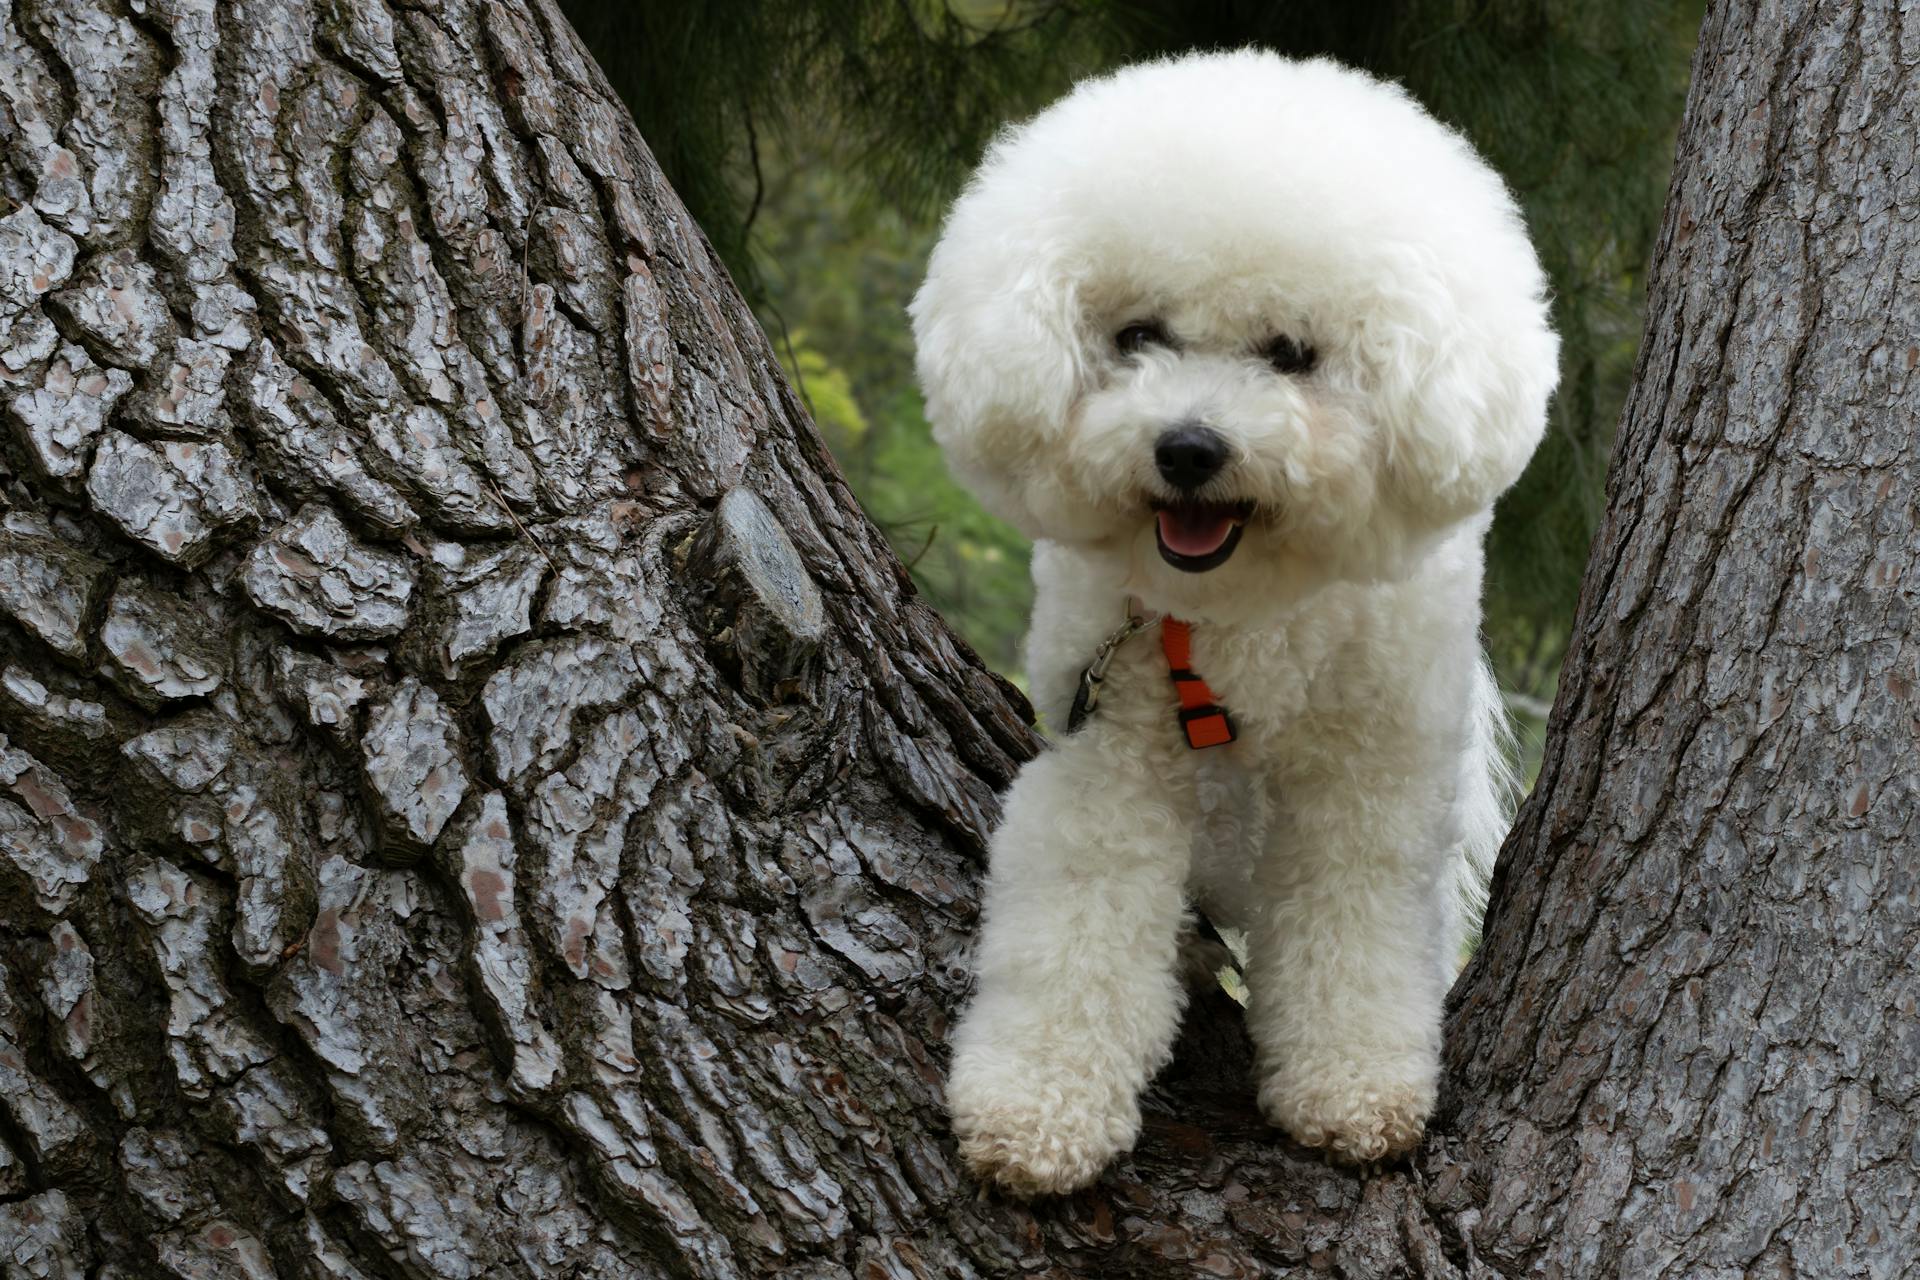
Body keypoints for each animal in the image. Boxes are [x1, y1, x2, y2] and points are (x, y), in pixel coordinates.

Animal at [913, 47, 1559, 1189]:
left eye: (1291, 351)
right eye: (1137, 336)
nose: (1188, 448)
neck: (1247, 604)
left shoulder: (1369, 771)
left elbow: (1354, 916)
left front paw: (1353, 1092)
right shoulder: (1111, 753)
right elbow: (1078, 920)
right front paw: (1038, 1106)